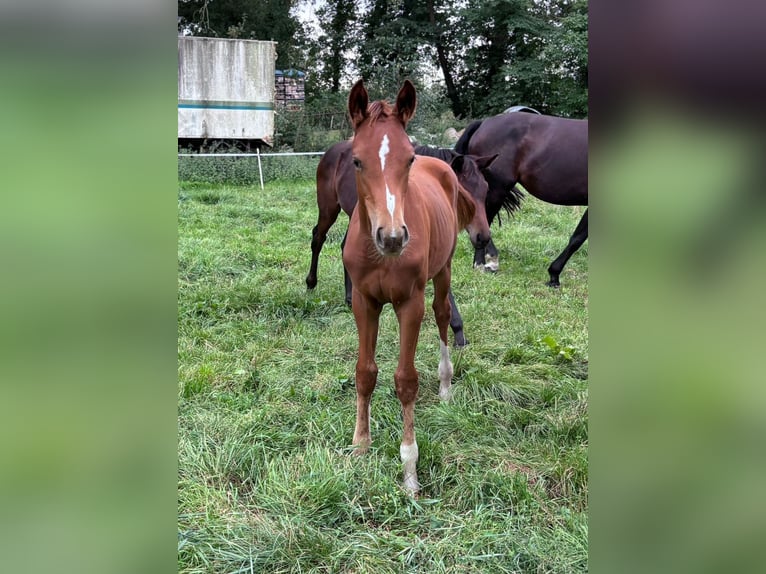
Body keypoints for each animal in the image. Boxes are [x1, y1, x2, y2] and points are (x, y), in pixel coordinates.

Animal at [308, 138, 496, 348]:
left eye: (486, 190)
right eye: (464, 193)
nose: (483, 236)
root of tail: (332, 150)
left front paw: (459, 333)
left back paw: (349, 297)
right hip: (329, 208)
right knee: (318, 238)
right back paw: (311, 283)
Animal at [344, 80, 474, 496]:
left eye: (409, 159)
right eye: (356, 160)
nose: (392, 237)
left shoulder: (408, 303)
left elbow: (406, 381)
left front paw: (409, 471)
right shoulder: (365, 302)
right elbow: (365, 372)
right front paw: (360, 447)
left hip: (443, 269)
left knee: (443, 314)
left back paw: (446, 386)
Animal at [456, 111, 588, 286]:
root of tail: (484, 122)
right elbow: (577, 239)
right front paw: (554, 275)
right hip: (496, 189)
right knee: (484, 221)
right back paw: (482, 263)